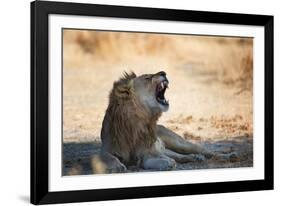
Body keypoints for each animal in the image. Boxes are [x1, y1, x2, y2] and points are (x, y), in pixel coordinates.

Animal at [96, 71, 232, 172]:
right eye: (147, 77)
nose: (163, 72)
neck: (137, 120)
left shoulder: (147, 152)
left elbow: (153, 159)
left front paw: (166, 162)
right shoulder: (107, 148)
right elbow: (106, 157)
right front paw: (117, 166)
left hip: (180, 143)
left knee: (206, 151)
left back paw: (228, 156)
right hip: (168, 149)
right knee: (179, 156)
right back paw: (195, 158)